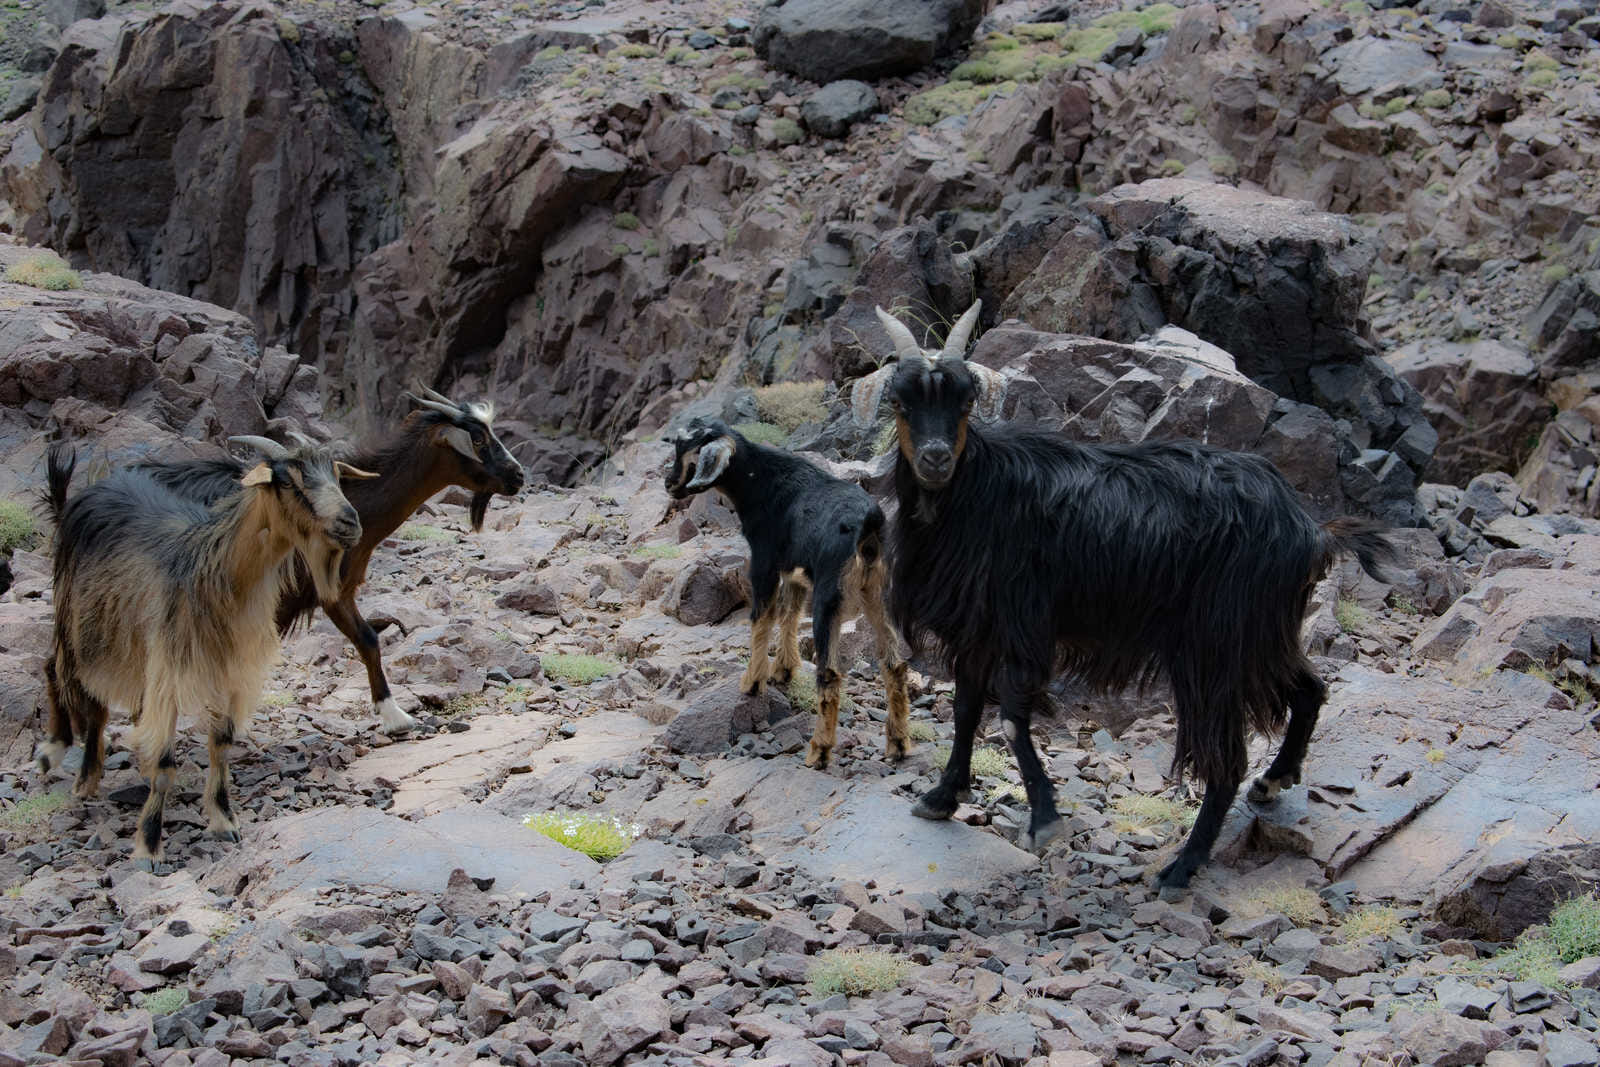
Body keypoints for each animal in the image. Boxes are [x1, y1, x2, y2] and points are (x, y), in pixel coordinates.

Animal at [39, 436, 375, 867]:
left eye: (335, 473)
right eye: (287, 481)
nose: (349, 523)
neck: (215, 570)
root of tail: (83, 494)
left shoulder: (229, 670)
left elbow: (222, 745)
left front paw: (222, 821)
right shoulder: (169, 668)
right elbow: (166, 763)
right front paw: (149, 846)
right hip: (80, 626)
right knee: (71, 685)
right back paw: (74, 769)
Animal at [664, 417, 912, 769]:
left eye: (690, 452)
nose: (669, 484)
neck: (762, 481)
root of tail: (870, 526)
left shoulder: (764, 564)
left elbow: (762, 618)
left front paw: (753, 683)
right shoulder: (794, 571)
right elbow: (789, 614)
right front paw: (783, 670)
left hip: (829, 598)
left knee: (830, 673)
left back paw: (819, 751)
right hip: (881, 595)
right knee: (894, 665)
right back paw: (898, 744)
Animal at [852, 300, 1394, 888]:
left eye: (966, 401)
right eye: (900, 402)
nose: (934, 459)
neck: (975, 497)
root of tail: (1310, 529)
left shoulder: (1025, 624)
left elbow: (1012, 720)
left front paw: (1044, 820)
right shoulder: (979, 629)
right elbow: (967, 709)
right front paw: (942, 797)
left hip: (1215, 646)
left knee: (1226, 757)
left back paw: (1182, 867)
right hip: (1262, 635)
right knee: (1310, 688)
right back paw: (1274, 781)